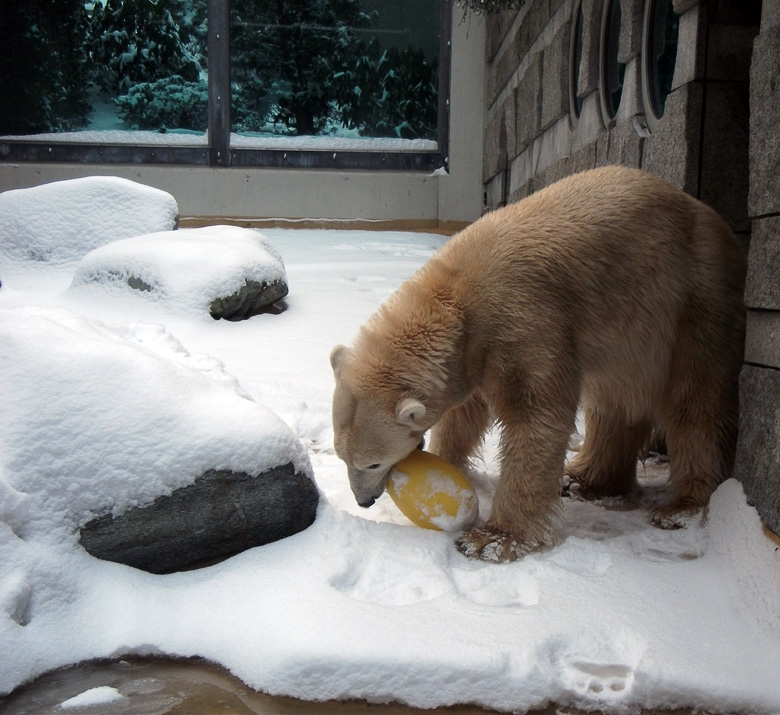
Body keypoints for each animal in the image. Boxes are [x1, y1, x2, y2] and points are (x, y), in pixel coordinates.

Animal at [328, 165, 744, 564]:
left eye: (372, 464)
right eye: (342, 456)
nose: (365, 501)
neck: (459, 294)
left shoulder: (524, 321)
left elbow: (535, 416)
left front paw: (491, 540)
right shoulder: (474, 352)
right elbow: (465, 413)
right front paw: (445, 460)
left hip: (689, 298)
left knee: (695, 399)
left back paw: (681, 506)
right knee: (616, 400)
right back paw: (583, 479)